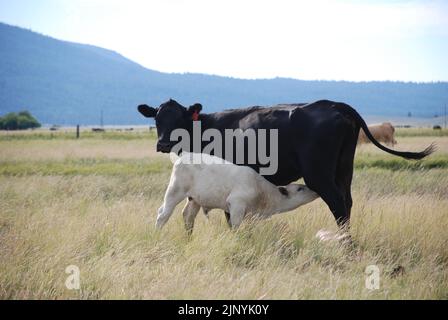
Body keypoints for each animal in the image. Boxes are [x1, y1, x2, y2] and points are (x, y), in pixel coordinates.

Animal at [157, 152, 318, 232]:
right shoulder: (236, 204)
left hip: (194, 199)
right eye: (300, 188)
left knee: (188, 216)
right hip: (174, 191)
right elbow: (235, 227)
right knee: (163, 214)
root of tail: (180, 157)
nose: (315, 191)